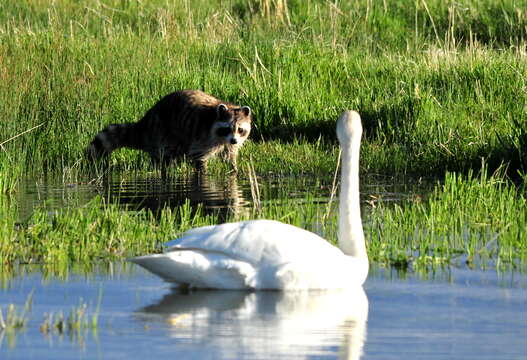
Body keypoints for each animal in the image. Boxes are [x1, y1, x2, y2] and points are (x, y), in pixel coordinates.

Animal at [85, 89, 253, 172]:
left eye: (240, 129)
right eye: (227, 128)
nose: (234, 140)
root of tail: (146, 121)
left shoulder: (227, 144)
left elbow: (229, 156)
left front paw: (234, 169)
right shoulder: (203, 136)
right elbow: (199, 157)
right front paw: (203, 172)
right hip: (162, 132)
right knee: (165, 156)